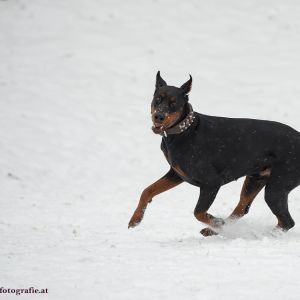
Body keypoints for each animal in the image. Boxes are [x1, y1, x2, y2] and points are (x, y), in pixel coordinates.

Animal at [127, 71, 298, 236]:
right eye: (157, 99)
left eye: (173, 103)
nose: (159, 116)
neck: (185, 131)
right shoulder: (176, 174)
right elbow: (147, 190)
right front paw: (135, 219)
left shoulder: (211, 183)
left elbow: (198, 212)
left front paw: (217, 222)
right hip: (255, 180)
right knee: (242, 208)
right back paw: (215, 230)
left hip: (277, 187)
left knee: (287, 222)